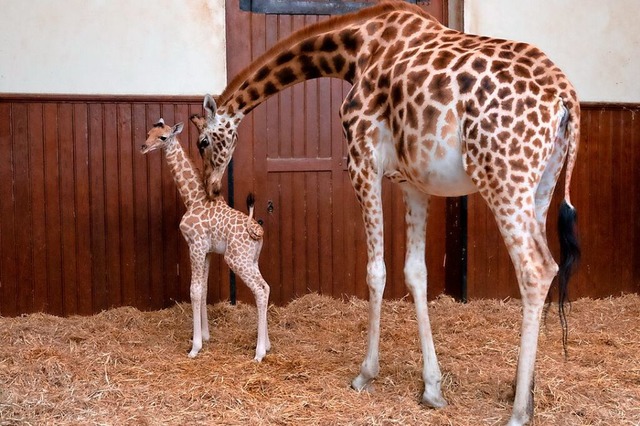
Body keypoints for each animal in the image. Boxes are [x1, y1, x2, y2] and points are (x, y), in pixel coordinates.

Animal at [140, 118, 270, 362]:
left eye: (163, 137)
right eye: (148, 133)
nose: (143, 147)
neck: (193, 199)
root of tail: (256, 230)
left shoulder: (196, 245)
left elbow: (194, 290)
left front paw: (195, 346)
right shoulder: (208, 251)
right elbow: (204, 290)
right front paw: (206, 336)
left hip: (236, 259)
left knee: (259, 290)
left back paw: (258, 354)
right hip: (252, 259)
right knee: (266, 288)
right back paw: (267, 345)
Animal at [190, 2, 580, 422]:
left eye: (203, 141)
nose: (211, 188)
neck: (355, 49)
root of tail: (566, 97)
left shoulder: (363, 160)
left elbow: (376, 272)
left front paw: (366, 373)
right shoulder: (413, 183)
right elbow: (415, 273)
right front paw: (432, 388)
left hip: (503, 177)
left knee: (536, 268)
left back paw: (520, 411)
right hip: (541, 184)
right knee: (543, 268)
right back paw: (525, 391)